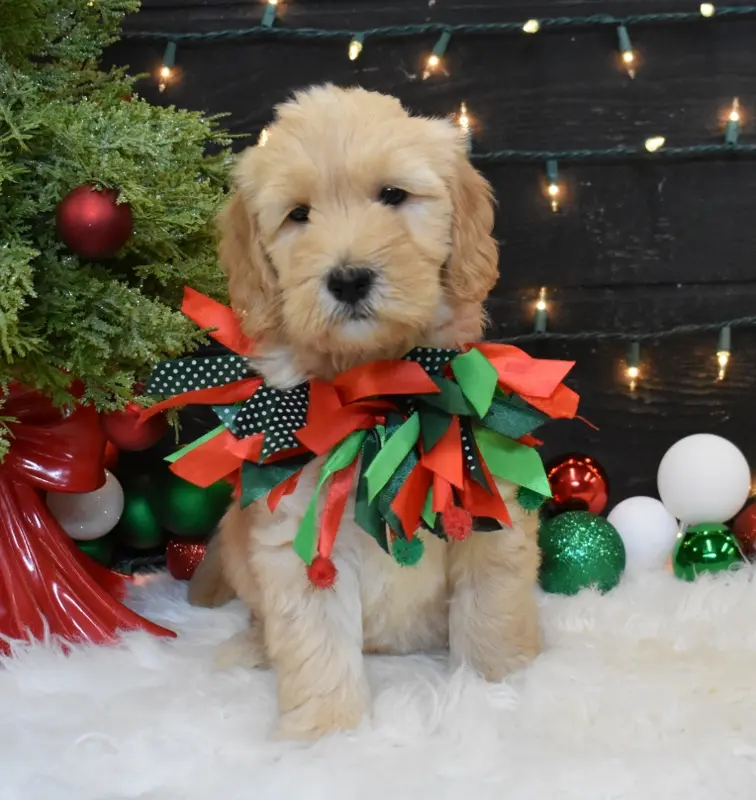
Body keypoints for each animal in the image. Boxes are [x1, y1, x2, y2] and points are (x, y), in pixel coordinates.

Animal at [188, 85, 541, 739]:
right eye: (298, 215)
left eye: (393, 196)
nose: (349, 279)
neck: (378, 397)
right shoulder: (299, 537)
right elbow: (317, 646)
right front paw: (330, 733)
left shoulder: (486, 503)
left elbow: (491, 610)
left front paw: (500, 687)